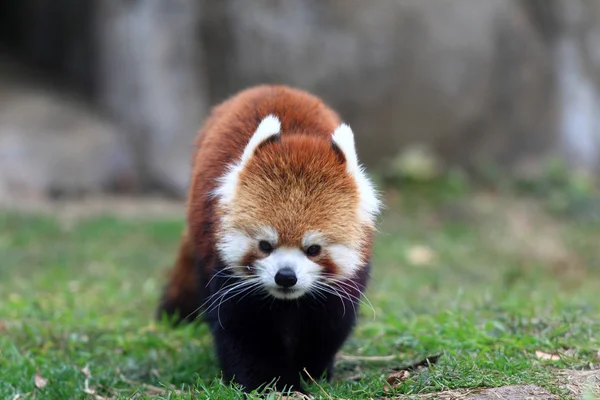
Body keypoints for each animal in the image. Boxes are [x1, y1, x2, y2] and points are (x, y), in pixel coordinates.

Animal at [158, 84, 380, 394]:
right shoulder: (224, 269)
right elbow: (244, 331)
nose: (285, 277)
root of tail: (272, 87)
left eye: (313, 249)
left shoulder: (342, 286)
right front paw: (271, 382)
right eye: (265, 245)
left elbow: (327, 326)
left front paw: (312, 371)